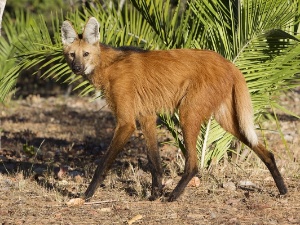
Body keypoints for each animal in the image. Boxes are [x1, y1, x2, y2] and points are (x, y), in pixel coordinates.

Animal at [60, 16, 286, 201]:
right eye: (72, 55)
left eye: (86, 54)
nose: (77, 68)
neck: (108, 65)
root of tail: (229, 63)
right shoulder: (146, 116)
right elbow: (154, 161)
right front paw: (155, 193)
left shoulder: (126, 123)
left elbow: (103, 164)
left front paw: (87, 195)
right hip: (227, 120)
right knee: (265, 151)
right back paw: (282, 189)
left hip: (188, 113)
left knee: (193, 164)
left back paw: (174, 195)